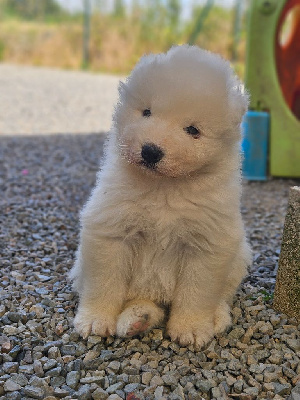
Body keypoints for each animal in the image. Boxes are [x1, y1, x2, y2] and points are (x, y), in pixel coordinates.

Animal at [70, 44, 251, 346]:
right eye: (147, 112)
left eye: (192, 130)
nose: (151, 151)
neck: (164, 189)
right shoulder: (110, 230)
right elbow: (104, 283)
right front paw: (96, 320)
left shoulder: (207, 244)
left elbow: (196, 292)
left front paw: (190, 328)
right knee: (140, 301)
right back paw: (137, 319)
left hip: (238, 258)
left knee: (220, 297)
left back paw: (215, 317)